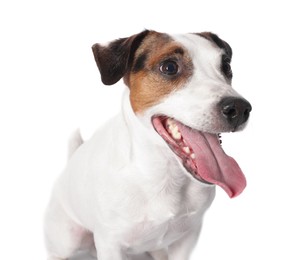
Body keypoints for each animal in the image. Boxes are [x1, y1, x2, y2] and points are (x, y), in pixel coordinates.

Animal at [44, 30, 252, 260]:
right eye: (169, 67)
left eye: (226, 66)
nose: (239, 109)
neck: (165, 174)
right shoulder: (111, 243)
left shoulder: (188, 236)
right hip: (68, 240)